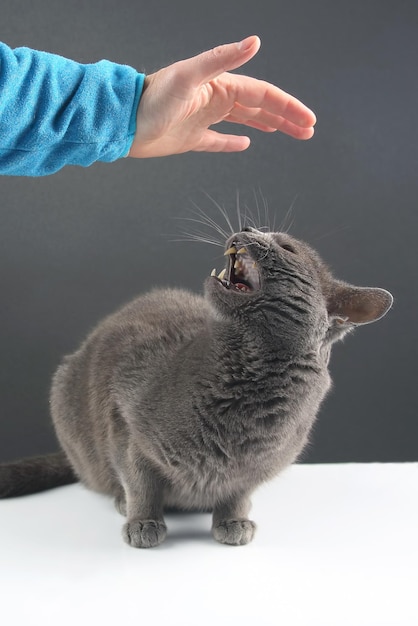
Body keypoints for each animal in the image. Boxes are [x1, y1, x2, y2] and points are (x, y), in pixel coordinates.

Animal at [0, 227, 392, 544]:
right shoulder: (126, 421)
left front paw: (233, 521)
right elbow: (141, 481)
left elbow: (237, 492)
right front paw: (142, 522)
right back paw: (123, 501)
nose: (247, 226)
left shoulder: (256, 468)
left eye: (287, 247)